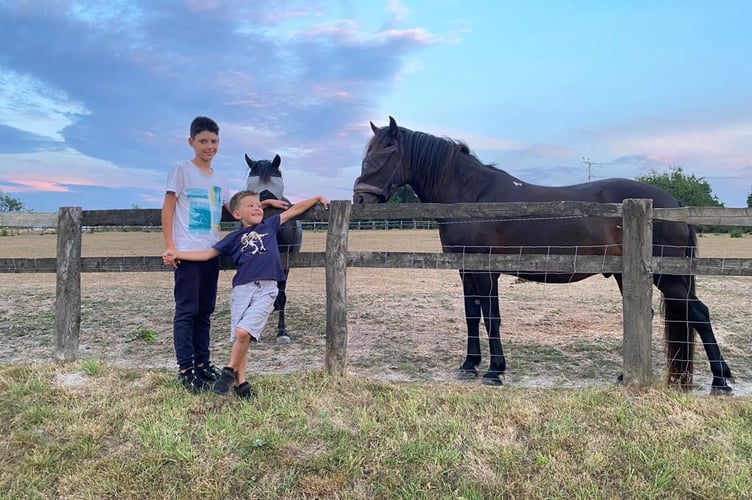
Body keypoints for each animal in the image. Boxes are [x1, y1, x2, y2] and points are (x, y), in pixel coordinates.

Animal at [352, 117, 736, 394]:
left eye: (384, 153)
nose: (359, 199)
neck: (472, 197)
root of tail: (673, 205)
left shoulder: (487, 271)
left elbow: (491, 318)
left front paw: (494, 371)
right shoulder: (466, 270)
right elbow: (471, 316)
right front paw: (469, 366)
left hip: (669, 277)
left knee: (699, 314)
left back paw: (720, 381)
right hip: (633, 275)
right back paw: (627, 376)